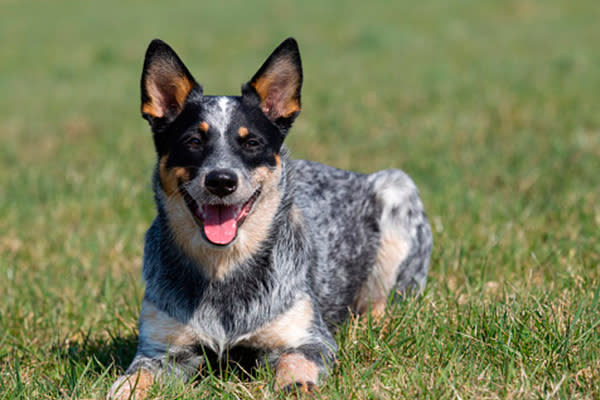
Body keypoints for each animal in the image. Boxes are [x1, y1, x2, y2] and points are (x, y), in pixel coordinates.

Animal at [109, 36, 432, 396]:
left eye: (251, 142)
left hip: (397, 190)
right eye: (193, 140)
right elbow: (134, 378)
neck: (223, 268)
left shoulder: (307, 338)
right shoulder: (162, 349)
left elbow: (295, 364)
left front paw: (296, 386)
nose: (221, 180)